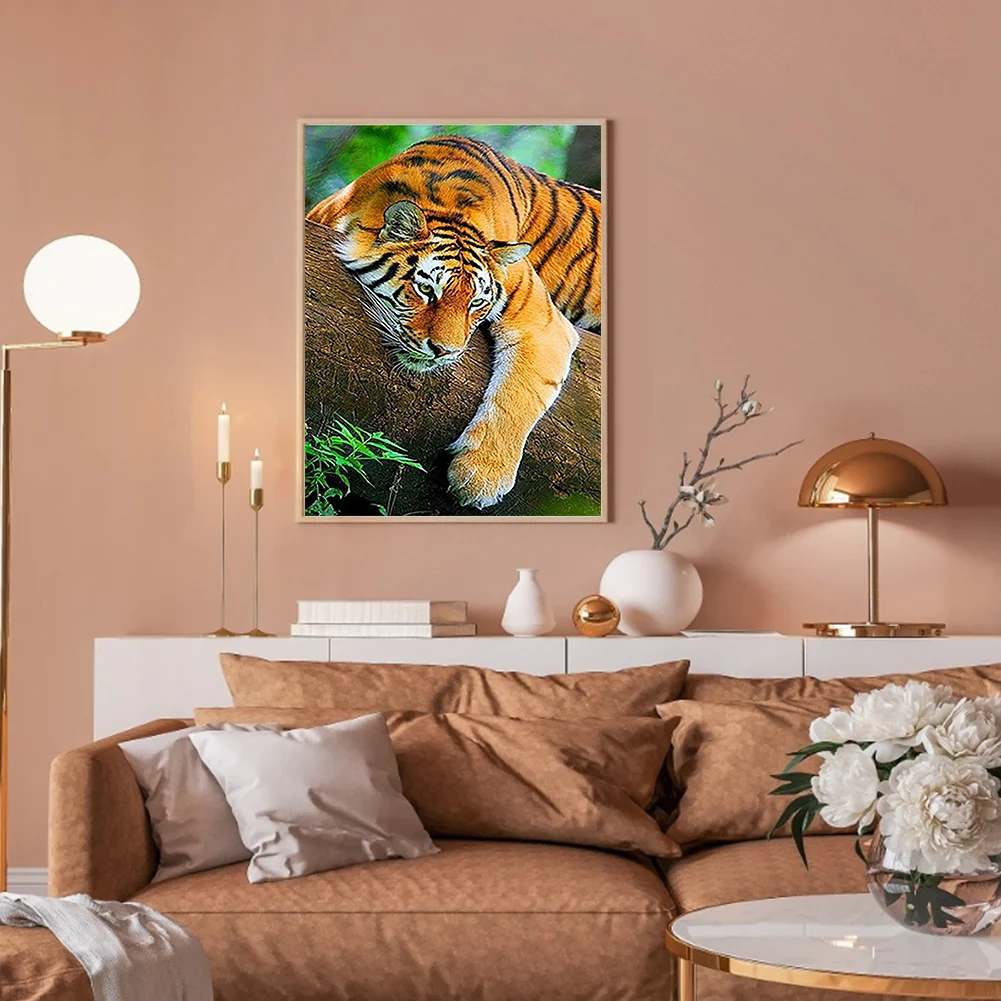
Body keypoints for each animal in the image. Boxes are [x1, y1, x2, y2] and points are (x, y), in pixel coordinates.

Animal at [306, 134, 601, 509]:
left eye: (476, 302)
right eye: (427, 289)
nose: (444, 351)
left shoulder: (543, 324)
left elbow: (518, 397)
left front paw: (481, 477)